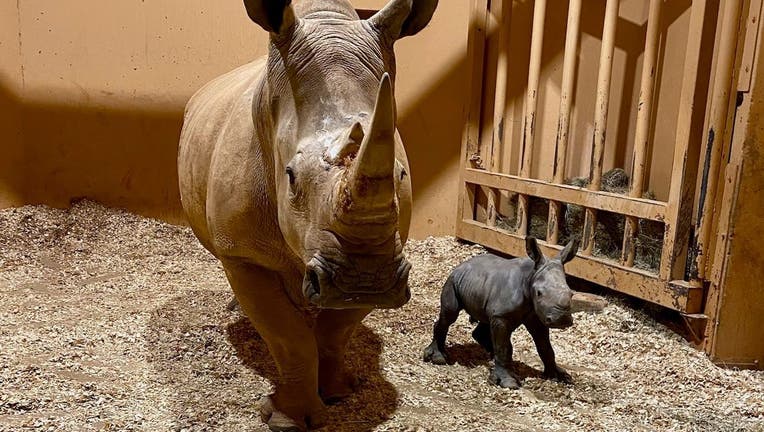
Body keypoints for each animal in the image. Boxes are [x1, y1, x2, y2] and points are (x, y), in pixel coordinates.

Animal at [177, 1, 437, 430]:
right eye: (290, 176)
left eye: (401, 175)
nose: (367, 281)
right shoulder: (242, 253)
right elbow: (289, 337)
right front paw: (287, 419)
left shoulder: (384, 254)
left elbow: (336, 329)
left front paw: (339, 393)